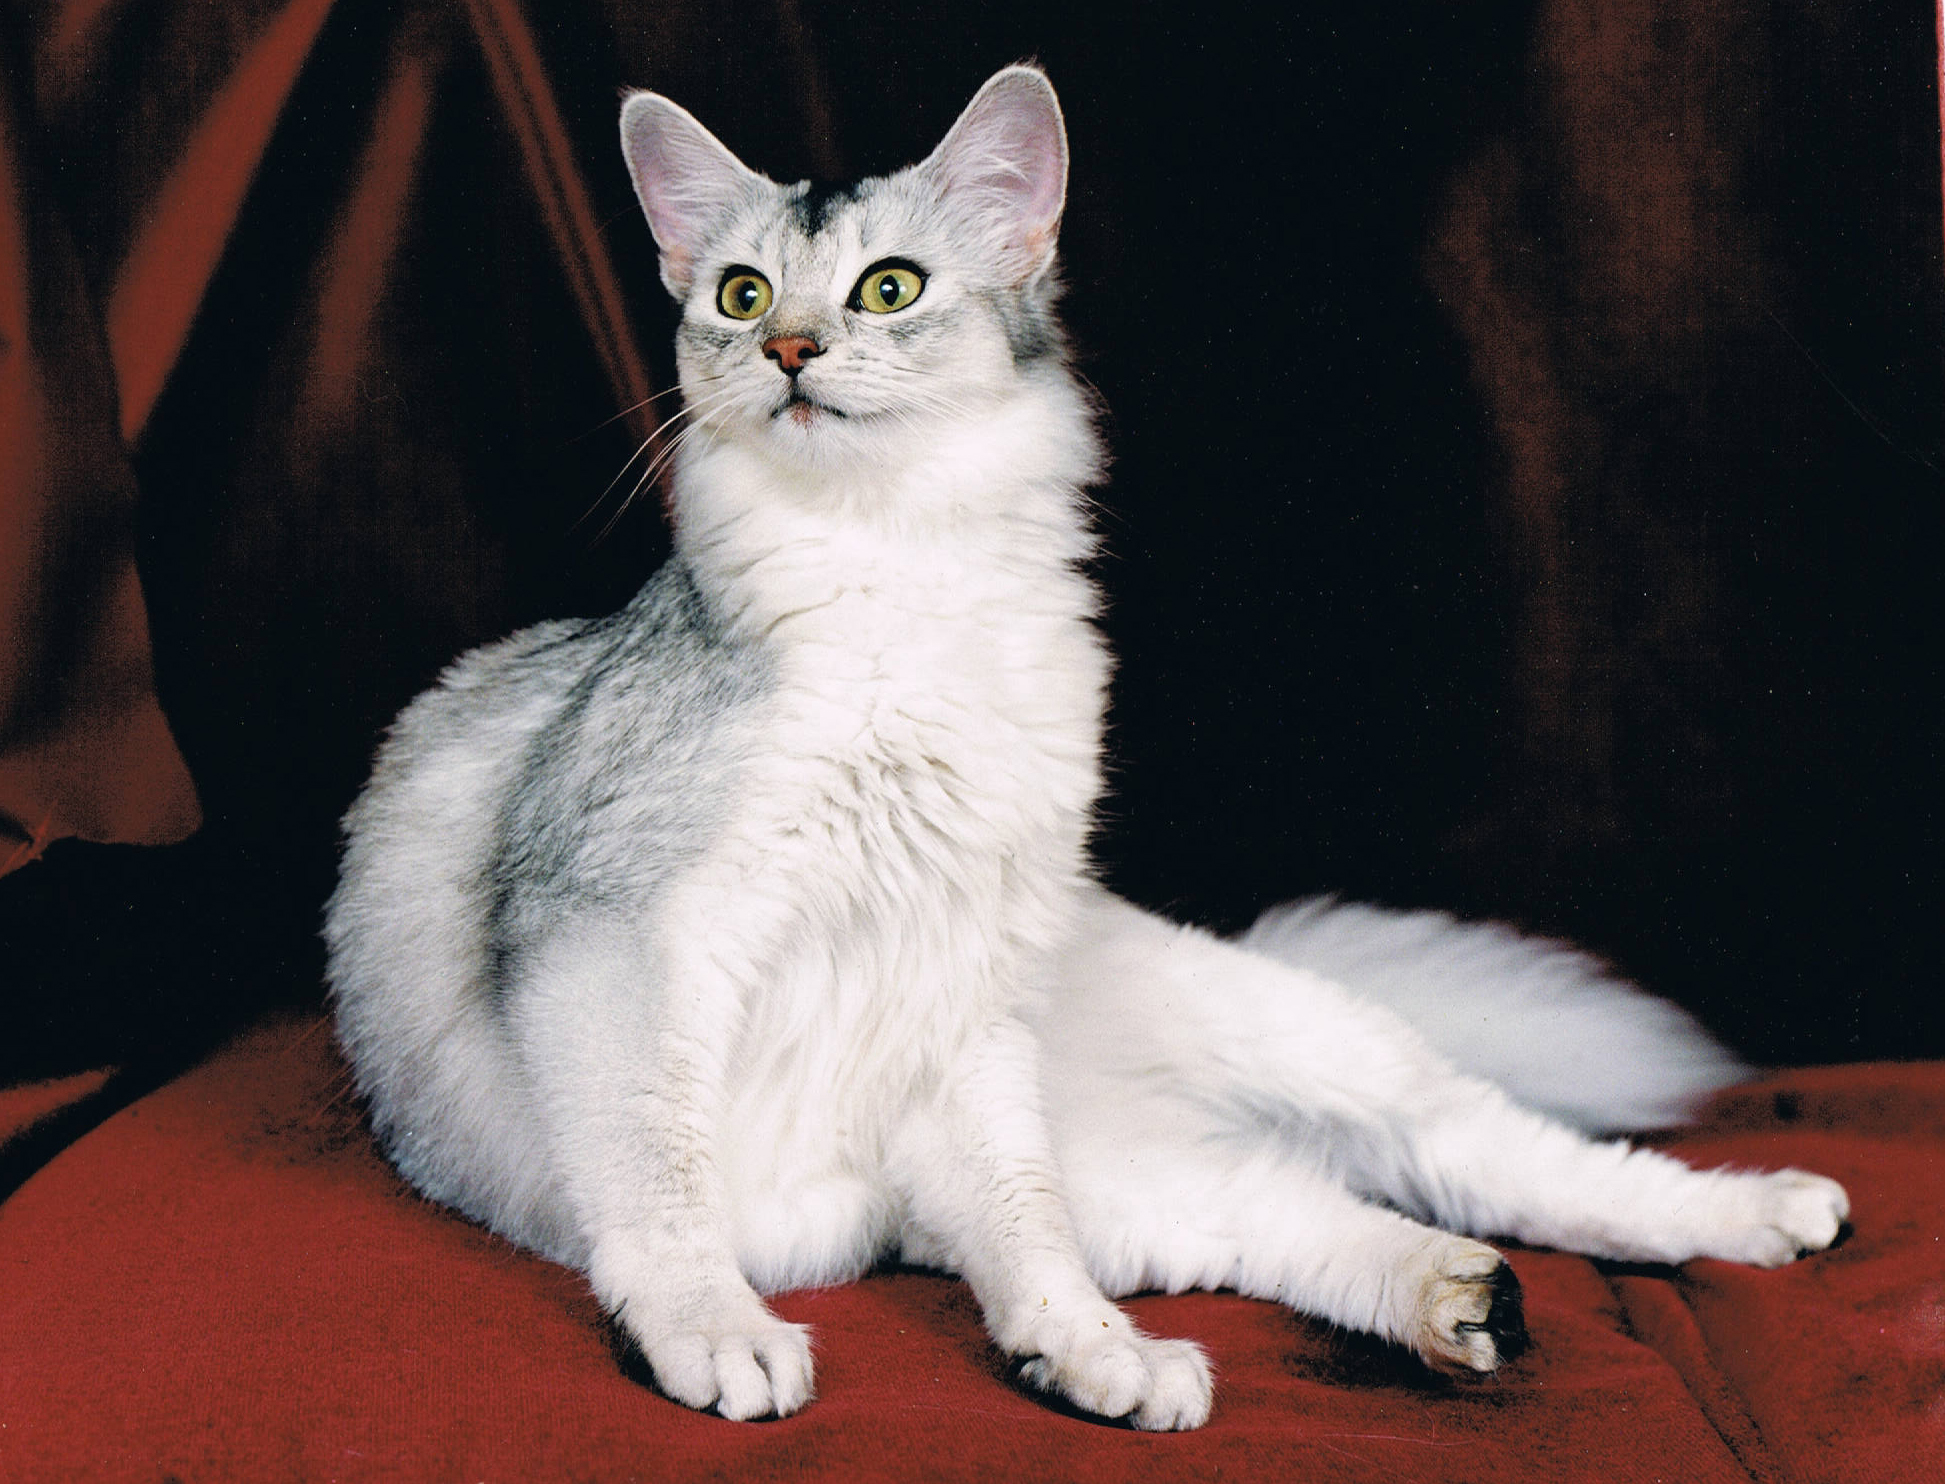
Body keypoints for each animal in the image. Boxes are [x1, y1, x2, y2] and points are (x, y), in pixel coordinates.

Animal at [322, 66, 1851, 1431]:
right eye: (742, 295)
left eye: (888, 288)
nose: (788, 352)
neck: (904, 578)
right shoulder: (614, 936)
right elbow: (662, 1176)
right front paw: (720, 1323)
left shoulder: (962, 998)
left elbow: (1019, 1215)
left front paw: (1065, 1334)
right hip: (1140, 1178)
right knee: (1303, 1203)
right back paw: (1429, 1303)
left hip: (1281, 1025)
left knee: (1479, 1143)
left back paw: (1751, 1211)